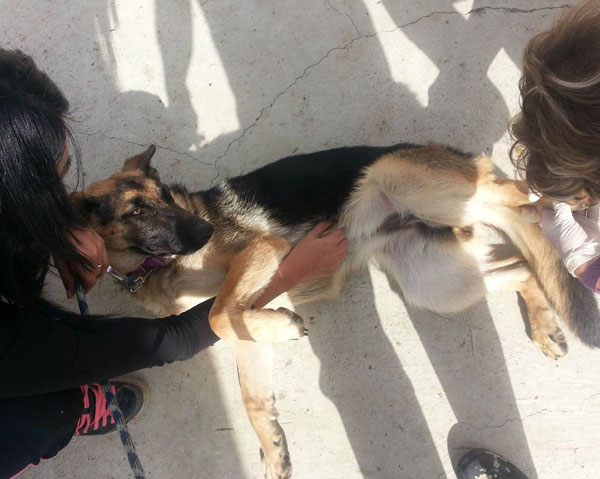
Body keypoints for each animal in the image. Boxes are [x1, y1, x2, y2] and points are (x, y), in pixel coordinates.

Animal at [72, 143, 596, 479]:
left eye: (164, 199)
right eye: (136, 210)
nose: (203, 231)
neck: (155, 266)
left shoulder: (259, 254)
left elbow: (221, 311)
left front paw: (285, 329)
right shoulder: (246, 317)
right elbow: (248, 387)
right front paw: (272, 447)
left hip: (399, 177)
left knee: (516, 190)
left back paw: (560, 199)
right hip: (434, 282)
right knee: (521, 265)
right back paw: (545, 324)